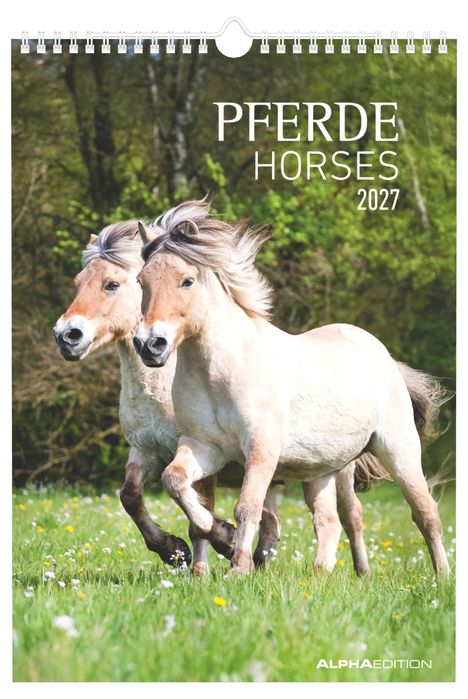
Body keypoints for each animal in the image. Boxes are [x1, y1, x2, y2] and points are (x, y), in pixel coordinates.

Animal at [134, 199, 450, 577]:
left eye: (187, 280)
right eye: (140, 281)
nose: (150, 344)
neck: (221, 373)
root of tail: (383, 356)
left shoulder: (261, 450)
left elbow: (248, 507)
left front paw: (237, 564)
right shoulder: (203, 447)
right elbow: (176, 482)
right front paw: (219, 536)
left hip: (398, 450)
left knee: (424, 513)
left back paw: (442, 576)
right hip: (321, 471)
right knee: (329, 522)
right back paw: (320, 576)